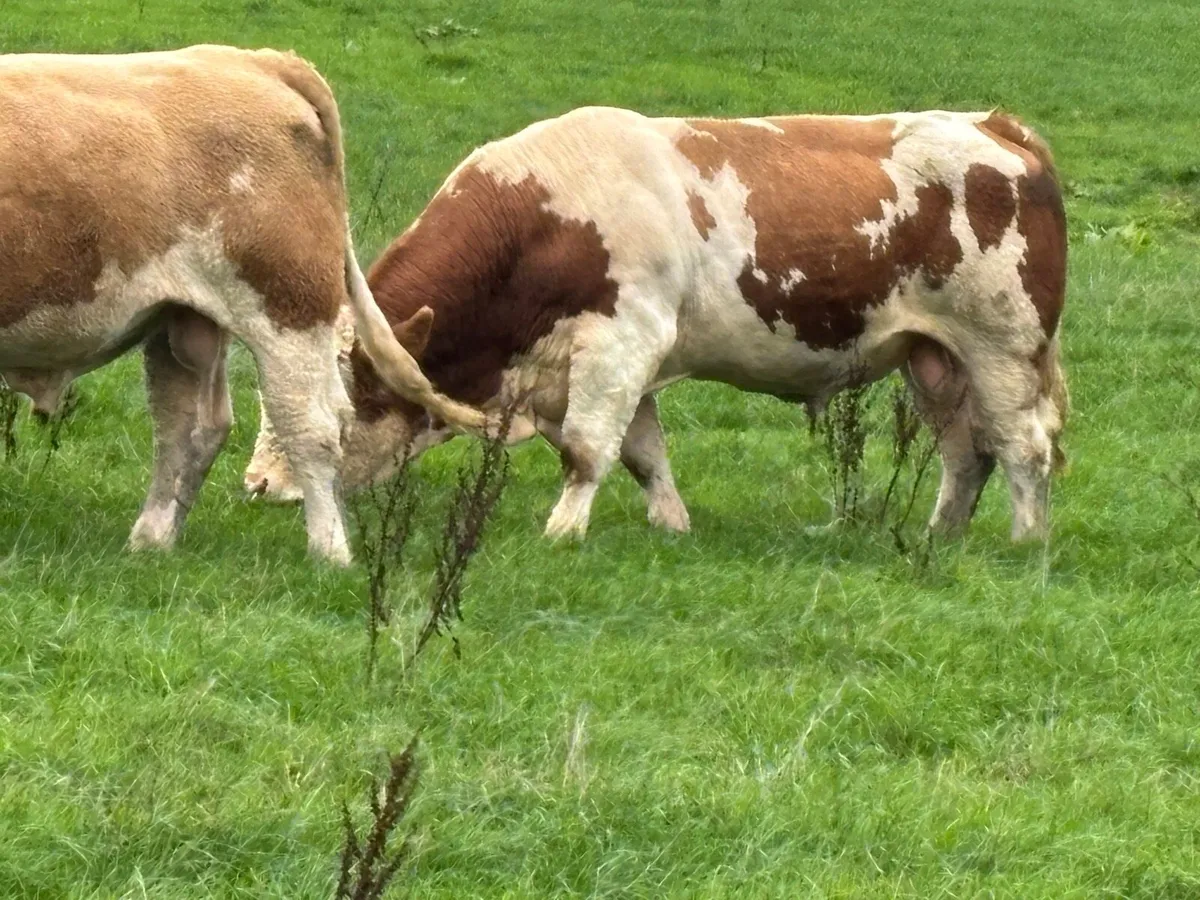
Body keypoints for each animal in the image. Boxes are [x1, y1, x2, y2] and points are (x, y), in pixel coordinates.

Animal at [0, 45, 484, 564]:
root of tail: (255, 59)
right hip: (183, 317)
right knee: (187, 427)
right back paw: (152, 540)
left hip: (288, 307)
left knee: (313, 427)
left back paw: (329, 554)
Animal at [246, 106, 1069, 543]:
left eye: (342, 405)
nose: (257, 485)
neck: (543, 220)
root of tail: (997, 125)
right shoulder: (619, 362)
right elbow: (644, 454)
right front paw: (672, 525)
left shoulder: (620, 343)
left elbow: (588, 449)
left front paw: (561, 533)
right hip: (935, 358)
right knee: (967, 453)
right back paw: (940, 537)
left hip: (1003, 349)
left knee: (1024, 448)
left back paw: (1024, 543)